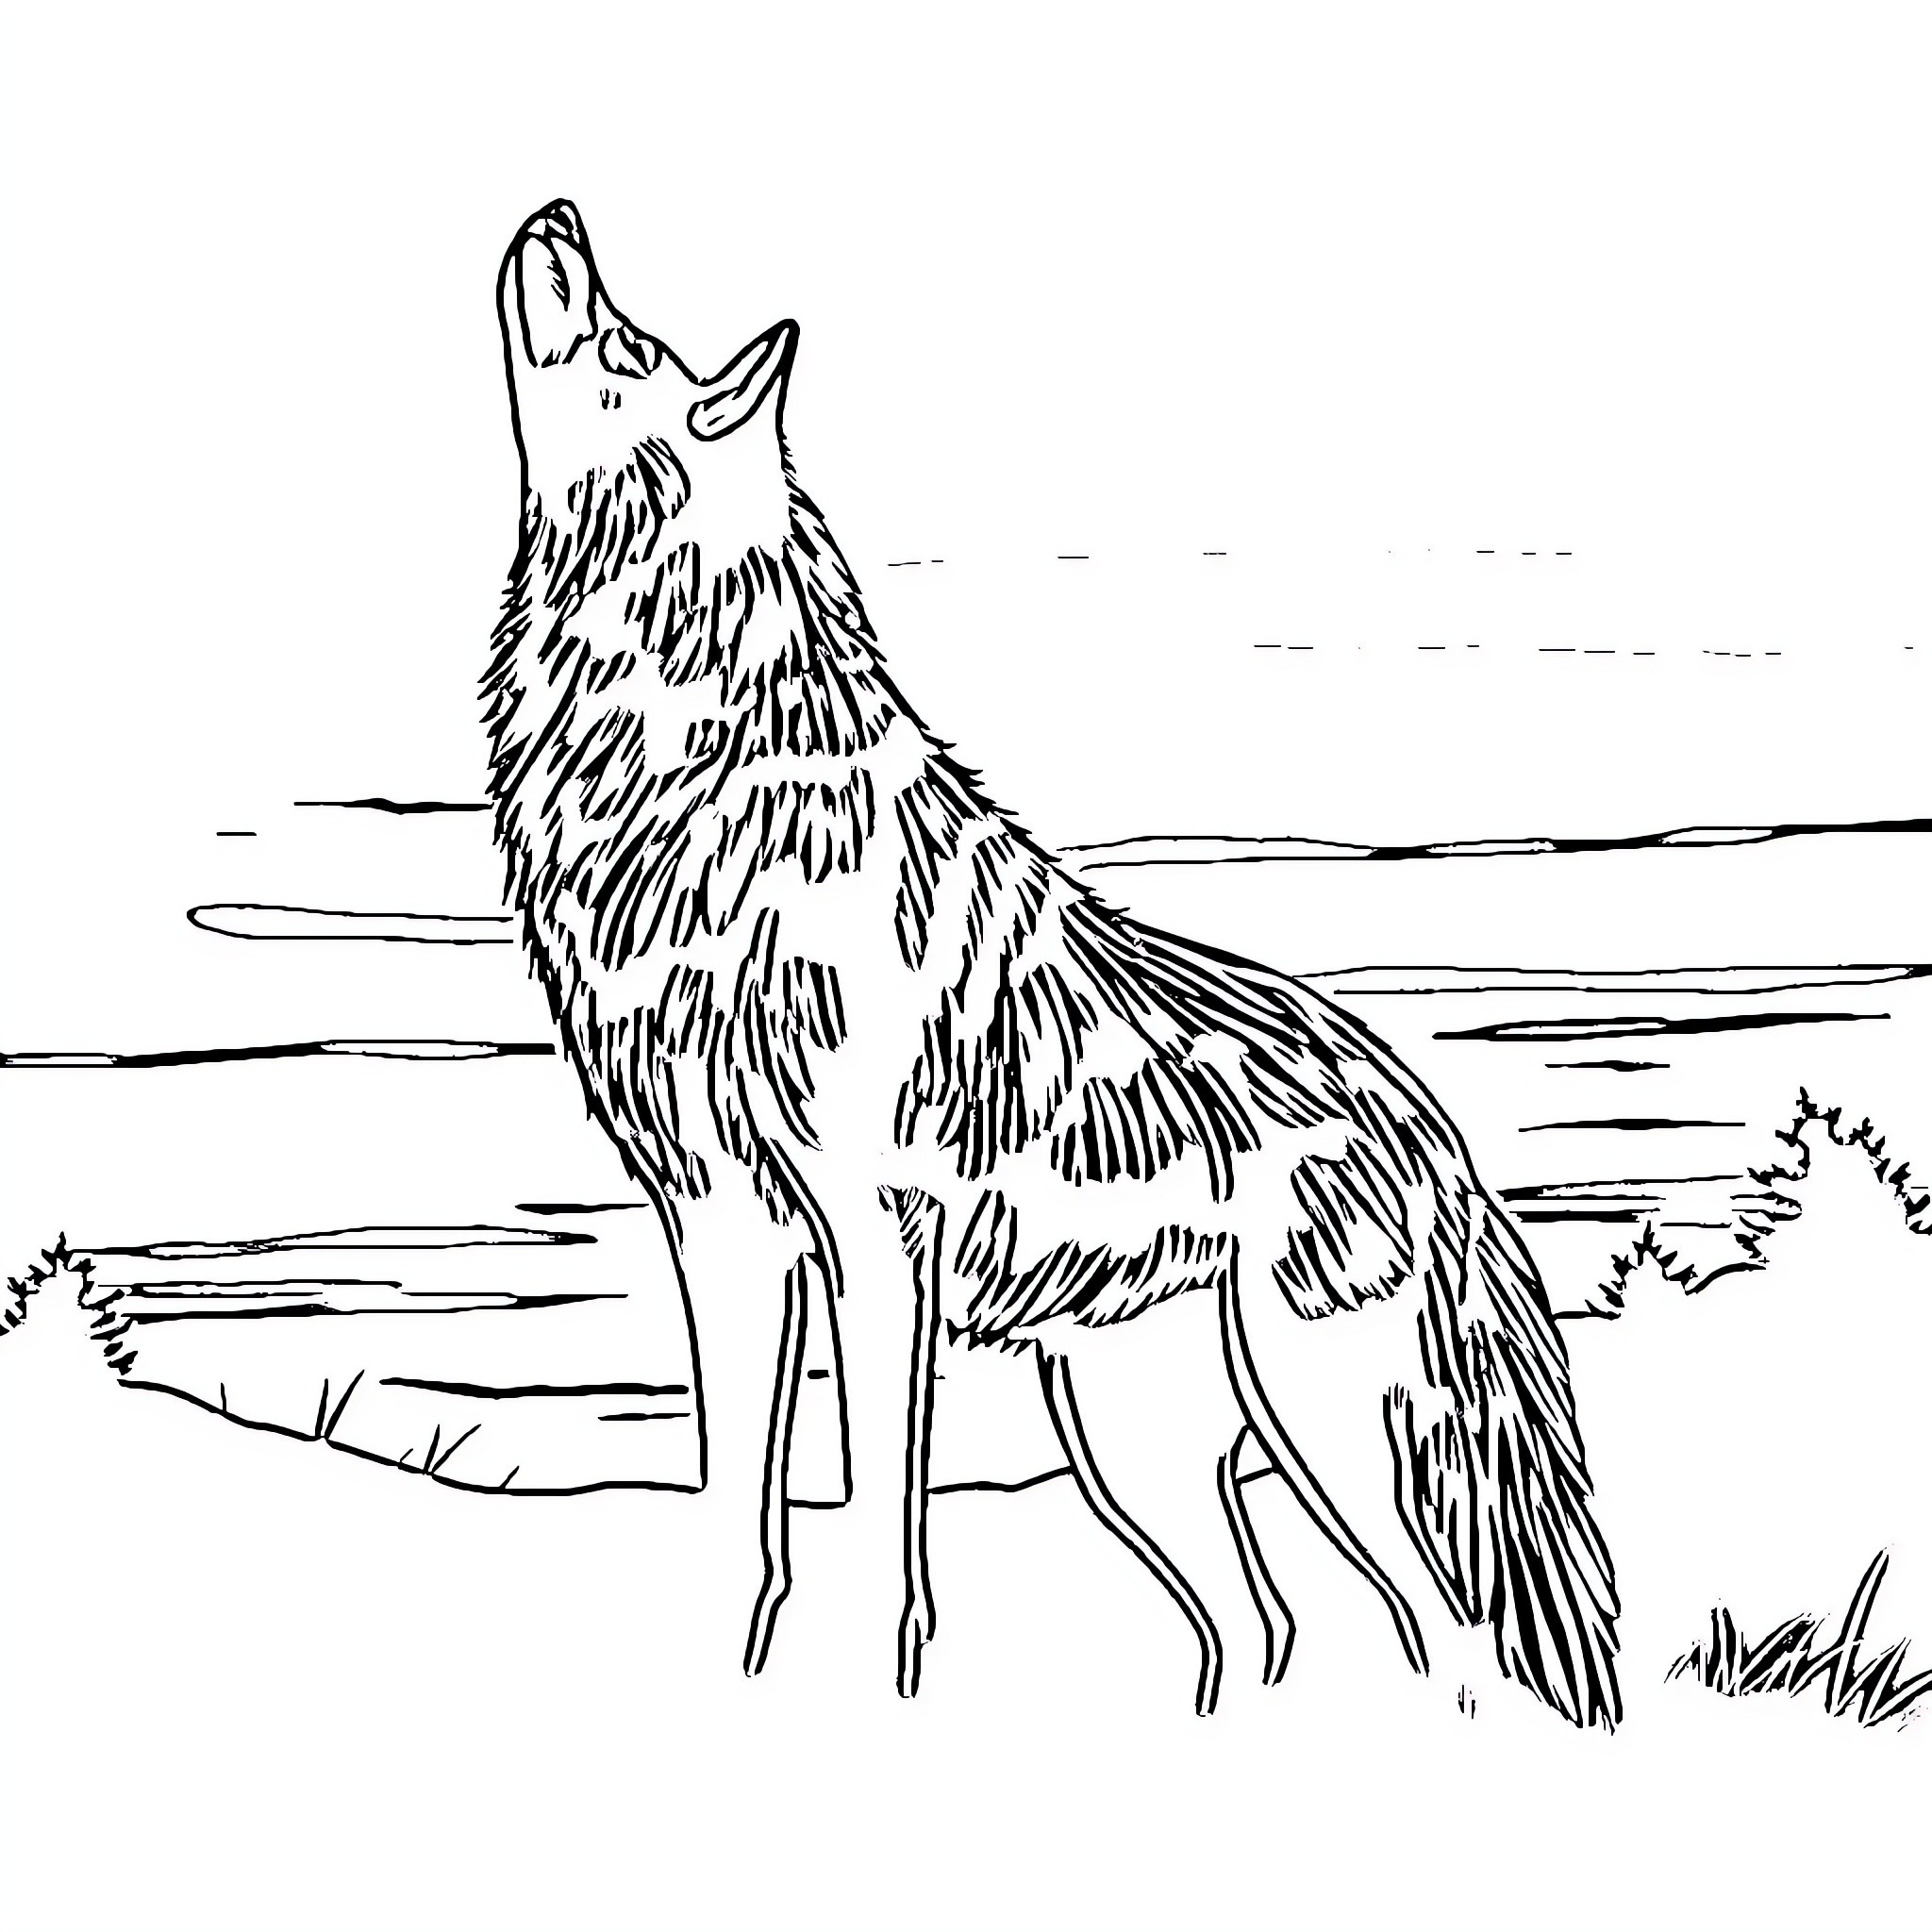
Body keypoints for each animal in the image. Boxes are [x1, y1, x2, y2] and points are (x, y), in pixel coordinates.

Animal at [485, 198, 1622, 1727]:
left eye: (627, 346)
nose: (557, 214)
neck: (695, 770)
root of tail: (1437, 1132)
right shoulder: (716, 1226)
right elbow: (736, 1510)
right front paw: (721, 1677)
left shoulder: (870, 1241)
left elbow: (877, 1528)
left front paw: (872, 1697)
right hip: (1132, 1445)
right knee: (1262, 1632)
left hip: (1339, 1442)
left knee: (1442, 1651)